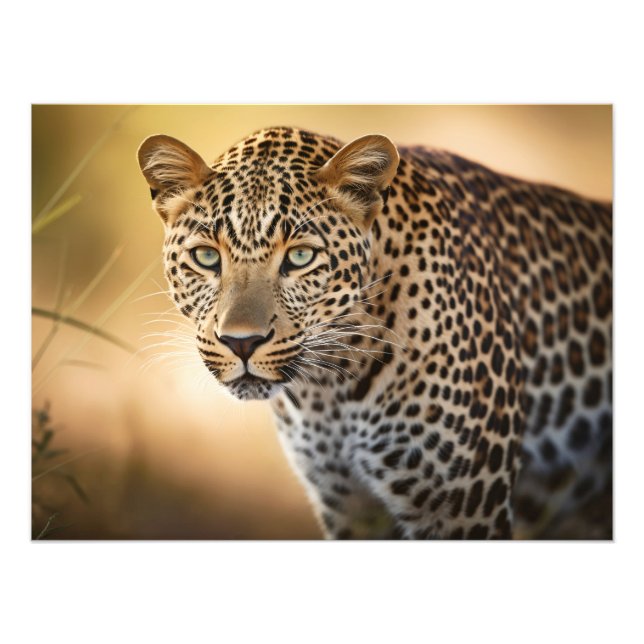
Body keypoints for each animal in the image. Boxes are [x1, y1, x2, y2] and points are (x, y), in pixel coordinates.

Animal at [137, 126, 612, 539]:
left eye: (301, 257)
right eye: (205, 257)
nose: (241, 342)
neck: (329, 387)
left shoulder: (463, 504)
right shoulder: (349, 506)